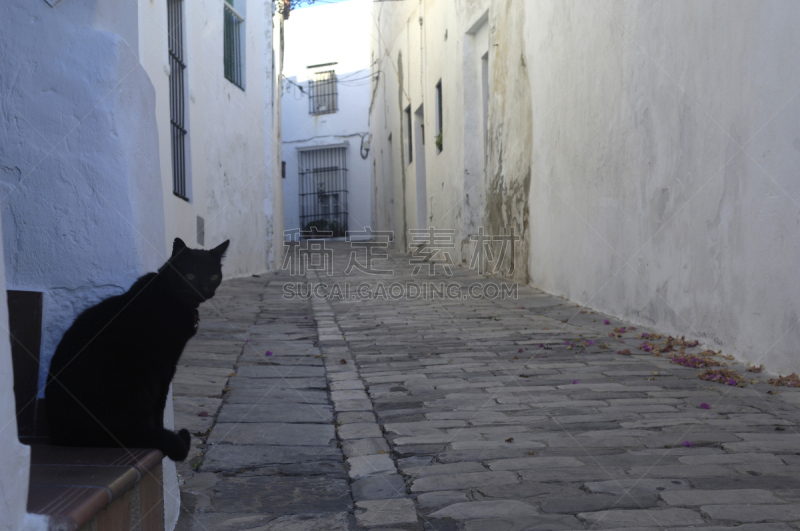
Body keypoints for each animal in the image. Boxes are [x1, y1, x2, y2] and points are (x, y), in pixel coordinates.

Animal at [45, 238, 230, 462]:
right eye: (191, 276)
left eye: (213, 276)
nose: (205, 290)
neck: (171, 296)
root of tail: (60, 433)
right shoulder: (165, 366)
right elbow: (160, 404)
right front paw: (161, 428)